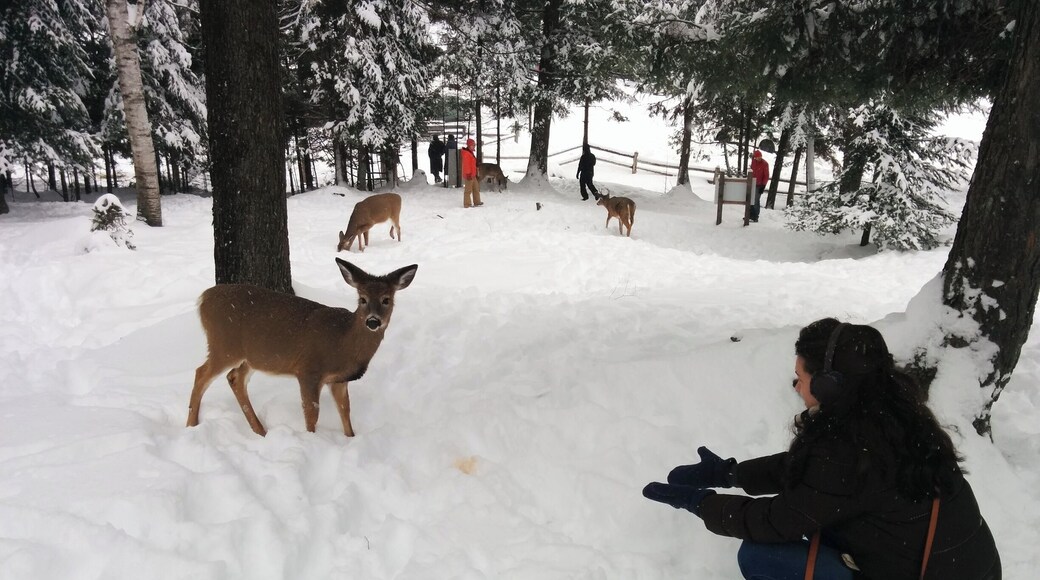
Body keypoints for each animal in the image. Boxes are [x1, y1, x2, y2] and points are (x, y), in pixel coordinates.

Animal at [186, 259, 418, 437]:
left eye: (386, 300)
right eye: (362, 299)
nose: (372, 321)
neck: (343, 342)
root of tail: (202, 299)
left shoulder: (338, 380)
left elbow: (346, 412)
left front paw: (351, 439)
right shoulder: (309, 370)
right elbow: (312, 414)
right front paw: (311, 440)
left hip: (250, 356)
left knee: (235, 378)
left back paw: (260, 431)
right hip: (223, 345)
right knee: (201, 373)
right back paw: (191, 425)